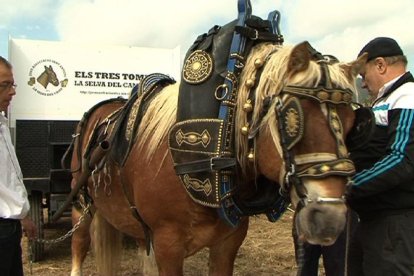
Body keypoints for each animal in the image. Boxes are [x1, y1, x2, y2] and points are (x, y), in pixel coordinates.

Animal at [69, 41, 368, 276]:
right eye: (291, 120)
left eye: (351, 122)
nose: (329, 218)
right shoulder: (167, 244)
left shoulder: (227, 242)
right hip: (81, 204)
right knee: (79, 242)